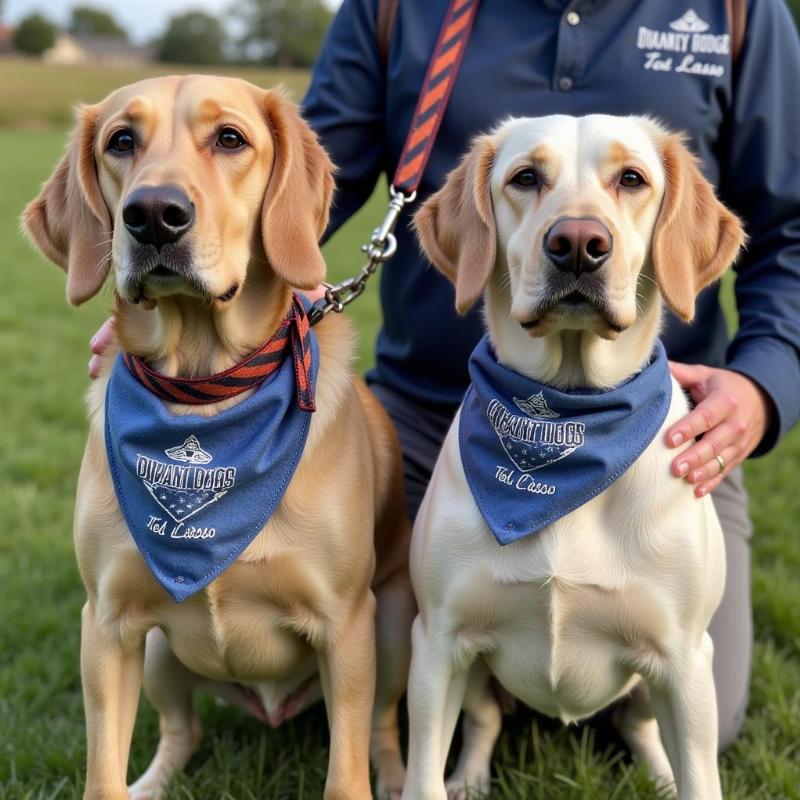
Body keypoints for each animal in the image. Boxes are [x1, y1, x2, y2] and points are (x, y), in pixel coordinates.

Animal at [22, 75, 416, 800]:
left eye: (230, 139)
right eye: (121, 140)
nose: (153, 214)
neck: (206, 394)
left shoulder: (347, 626)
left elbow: (348, 771)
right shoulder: (107, 623)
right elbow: (102, 774)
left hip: (396, 626)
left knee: (382, 731)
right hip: (156, 654)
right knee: (182, 732)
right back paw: (152, 783)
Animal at [404, 114, 748, 800]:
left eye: (632, 179)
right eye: (525, 178)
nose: (579, 243)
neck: (570, 420)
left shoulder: (684, 657)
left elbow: (700, 778)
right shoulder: (437, 643)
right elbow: (420, 775)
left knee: (643, 732)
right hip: (475, 674)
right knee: (484, 723)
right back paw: (471, 778)